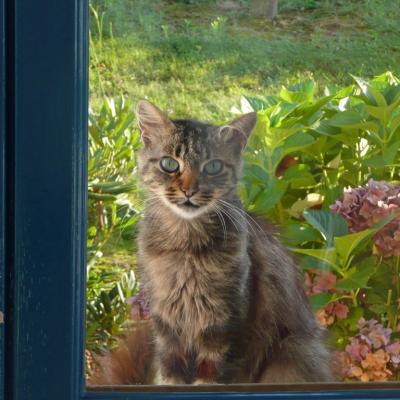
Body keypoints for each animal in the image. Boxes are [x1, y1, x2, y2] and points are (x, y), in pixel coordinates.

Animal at [91, 101, 334, 386]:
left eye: (213, 167)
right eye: (169, 164)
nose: (189, 190)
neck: (185, 247)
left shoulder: (226, 322)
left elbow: (211, 373)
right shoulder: (166, 321)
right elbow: (170, 373)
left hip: (292, 351)